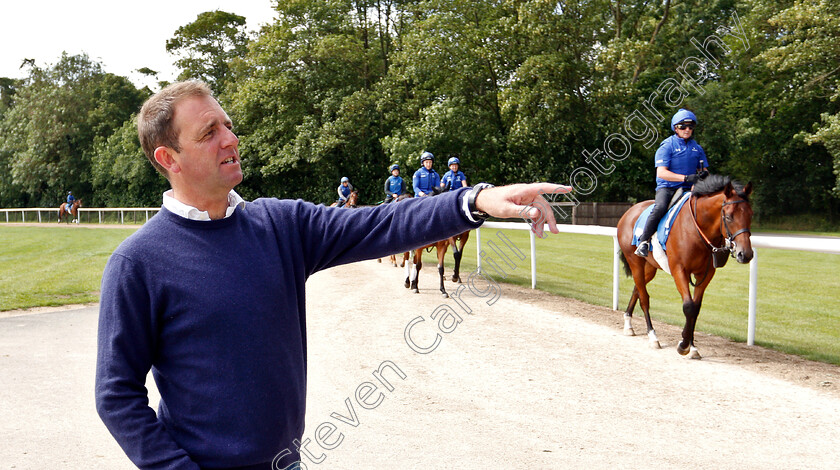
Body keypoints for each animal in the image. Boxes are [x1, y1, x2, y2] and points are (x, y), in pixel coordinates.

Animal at [616, 176, 756, 360]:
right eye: (729, 216)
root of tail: (628, 212)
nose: (745, 254)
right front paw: (683, 345)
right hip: (635, 261)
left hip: (650, 267)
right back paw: (652, 336)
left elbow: (696, 308)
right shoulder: (679, 270)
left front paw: (692, 346)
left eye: (750, 215)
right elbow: (688, 306)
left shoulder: (705, 274)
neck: (696, 230)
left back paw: (628, 324)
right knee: (644, 297)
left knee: (637, 289)